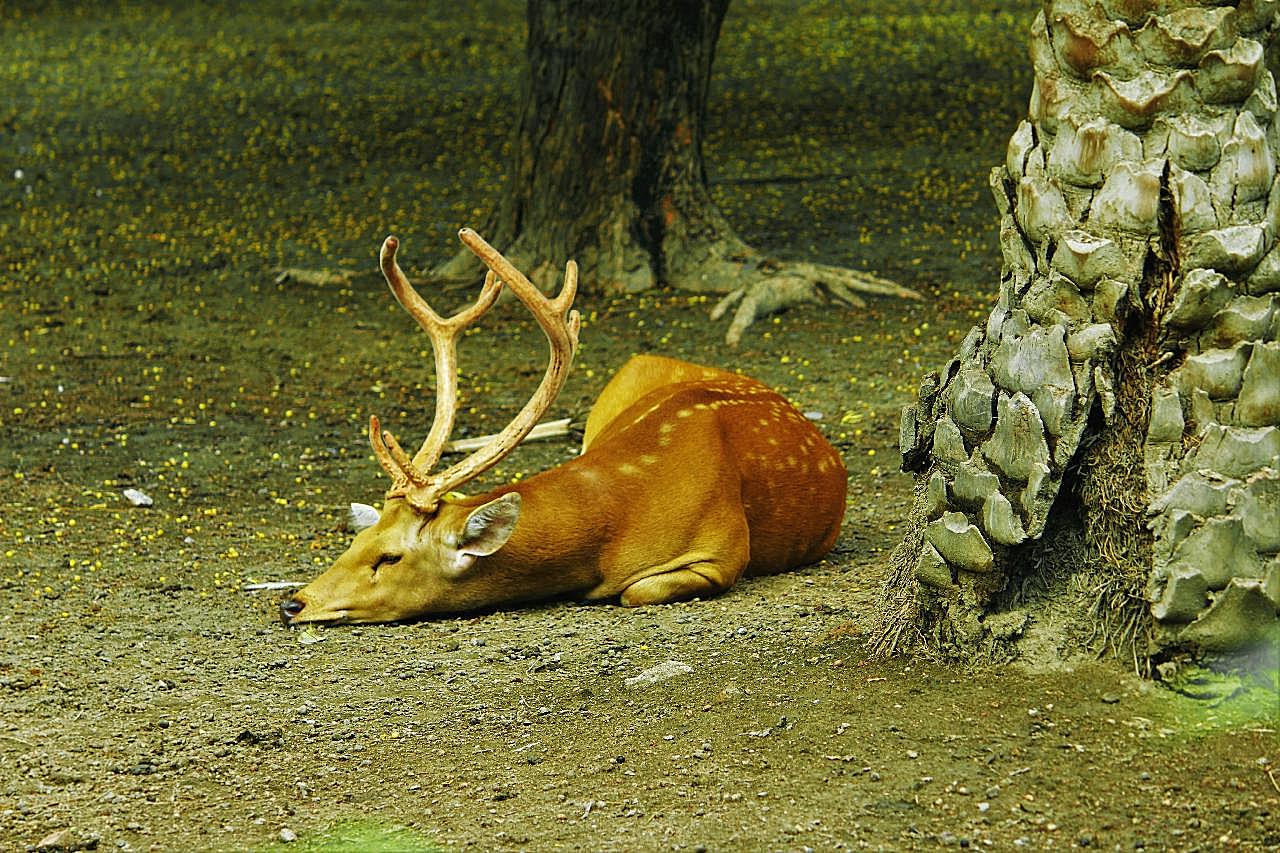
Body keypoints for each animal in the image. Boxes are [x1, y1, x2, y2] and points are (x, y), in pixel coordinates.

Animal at [277, 229, 849, 622]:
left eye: (389, 558)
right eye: (353, 543)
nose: (293, 602)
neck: (616, 516)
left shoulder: (723, 551)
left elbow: (635, 590)